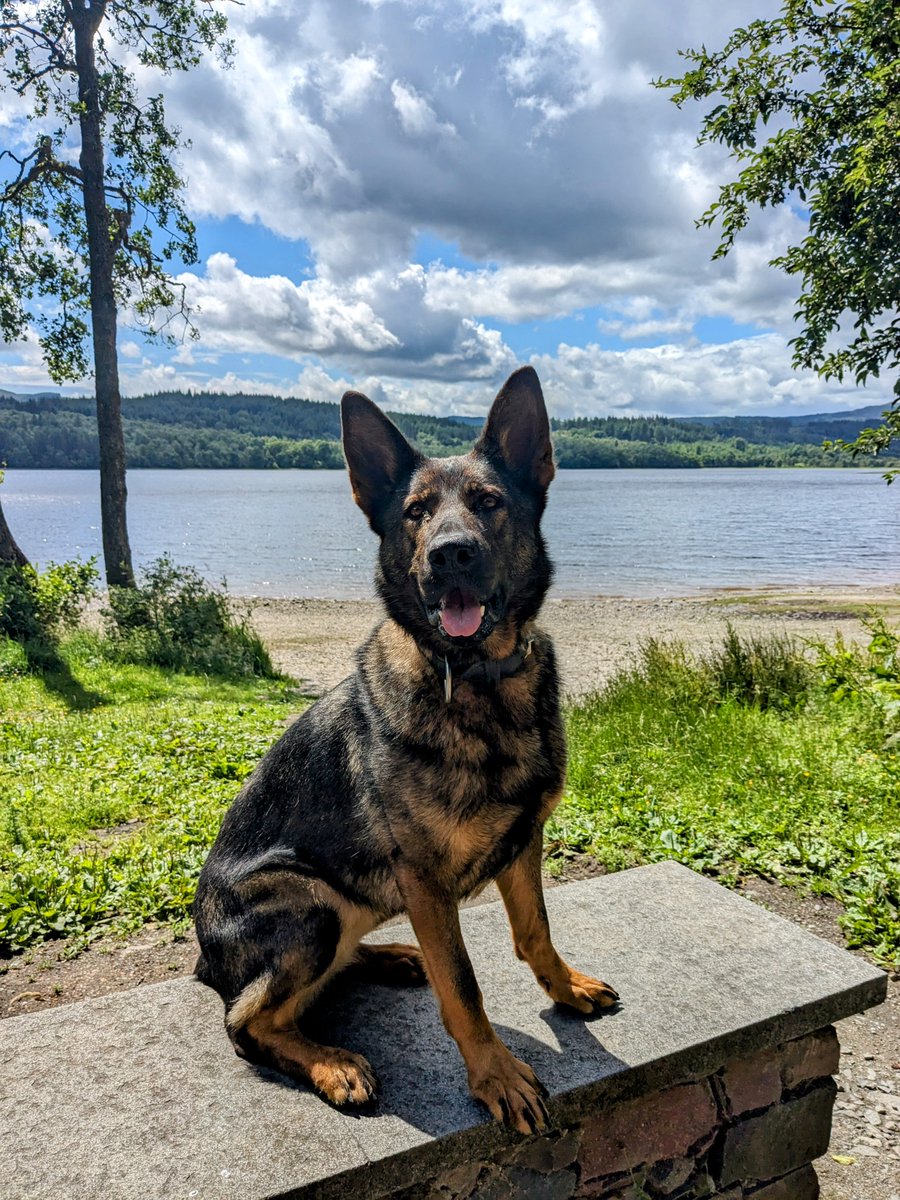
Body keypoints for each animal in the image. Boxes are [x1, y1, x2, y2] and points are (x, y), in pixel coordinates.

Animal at [194, 367, 619, 1132]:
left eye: (488, 503)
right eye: (416, 513)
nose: (451, 553)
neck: (476, 679)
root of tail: (203, 954)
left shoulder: (523, 844)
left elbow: (535, 932)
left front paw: (564, 987)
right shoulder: (424, 878)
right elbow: (465, 986)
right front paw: (494, 1076)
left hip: (351, 903)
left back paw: (390, 956)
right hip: (309, 903)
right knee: (247, 1021)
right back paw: (332, 1063)